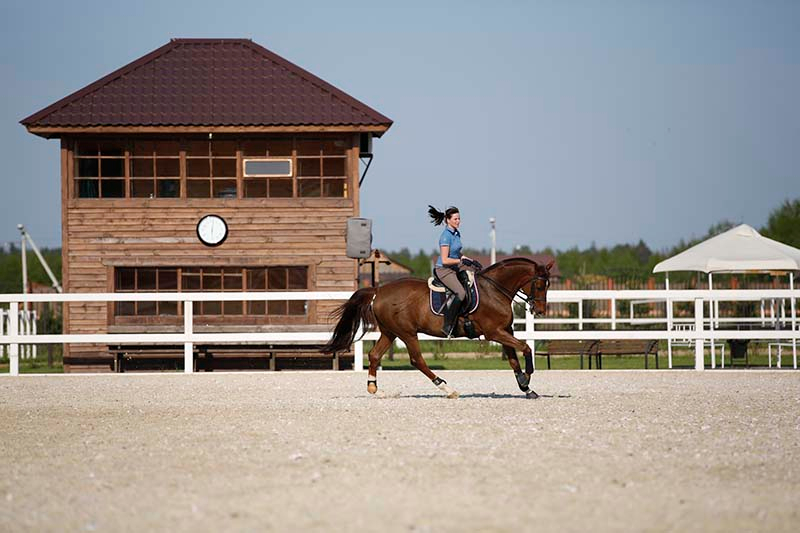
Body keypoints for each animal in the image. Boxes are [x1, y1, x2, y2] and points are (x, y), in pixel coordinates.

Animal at [322, 256, 552, 396]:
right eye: (540, 285)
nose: (540, 310)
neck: (493, 290)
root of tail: (379, 291)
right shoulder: (494, 332)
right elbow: (526, 347)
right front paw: (528, 376)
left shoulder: (505, 331)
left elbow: (513, 358)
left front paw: (525, 386)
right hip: (407, 333)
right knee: (417, 360)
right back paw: (447, 388)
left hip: (390, 332)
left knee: (375, 355)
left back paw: (373, 388)